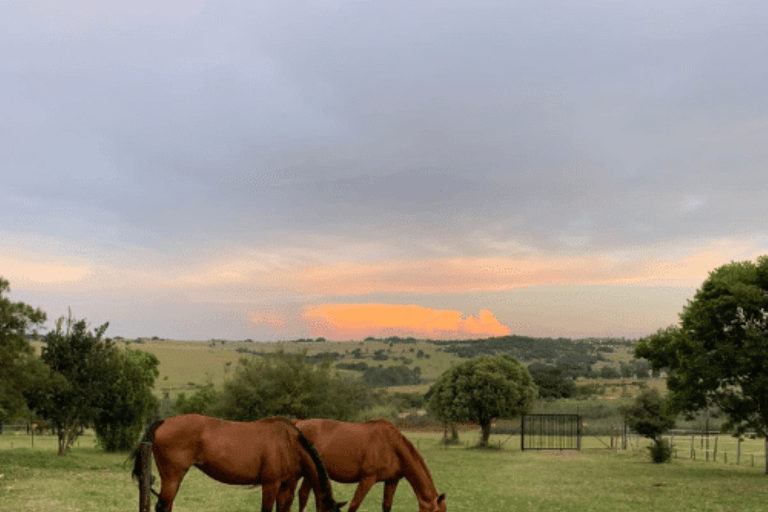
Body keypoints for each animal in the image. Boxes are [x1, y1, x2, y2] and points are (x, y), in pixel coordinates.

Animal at [130, 414, 346, 512]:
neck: (289, 443)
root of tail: (164, 422)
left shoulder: (286, 486)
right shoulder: (270, 485)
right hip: (172, 477)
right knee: (163, 506)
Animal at [292, 418, 450, 512]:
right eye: (436, 511)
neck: (392, 446)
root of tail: (297, 424)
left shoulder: (392, 481)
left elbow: (386, 506)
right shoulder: (367, 479)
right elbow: (354, 505)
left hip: (311, 473)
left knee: (305, 494)